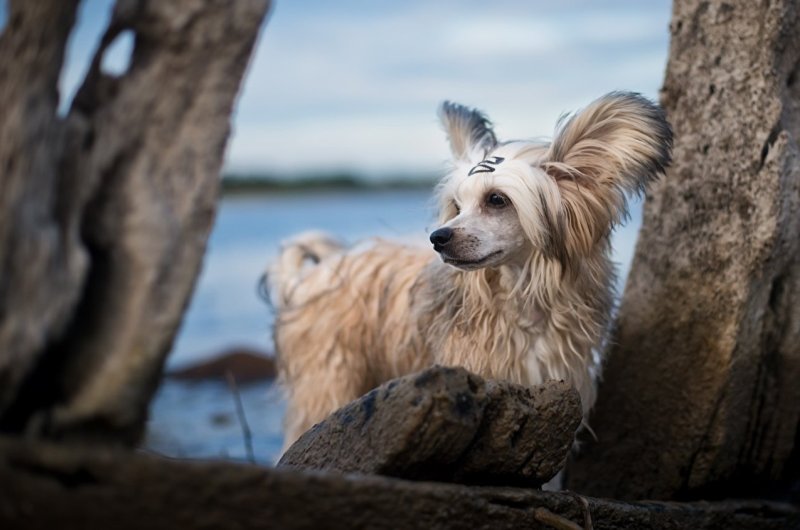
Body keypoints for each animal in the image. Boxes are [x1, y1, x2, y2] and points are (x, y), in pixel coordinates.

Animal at [266, 92, 672, 446]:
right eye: (457, 206)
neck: (522, 297)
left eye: (497, 200)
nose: (438, 237)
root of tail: (306, 278)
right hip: (326, 382)